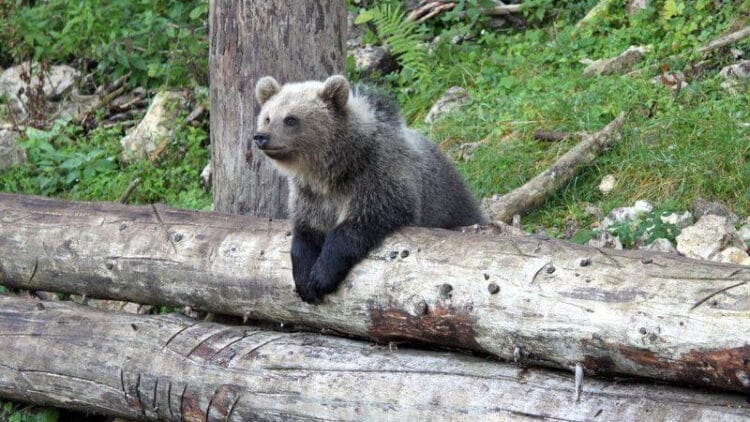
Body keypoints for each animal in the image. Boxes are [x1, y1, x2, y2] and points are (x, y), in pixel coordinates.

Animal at [254, 75, 486, 304]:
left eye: (290, 119)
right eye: (267, 117)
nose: (261, 136)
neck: (332, 170)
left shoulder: (375, 178)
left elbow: (360, 224)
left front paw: (321, 277)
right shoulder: (310, 195)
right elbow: (305, 233)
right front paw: (304, 282)